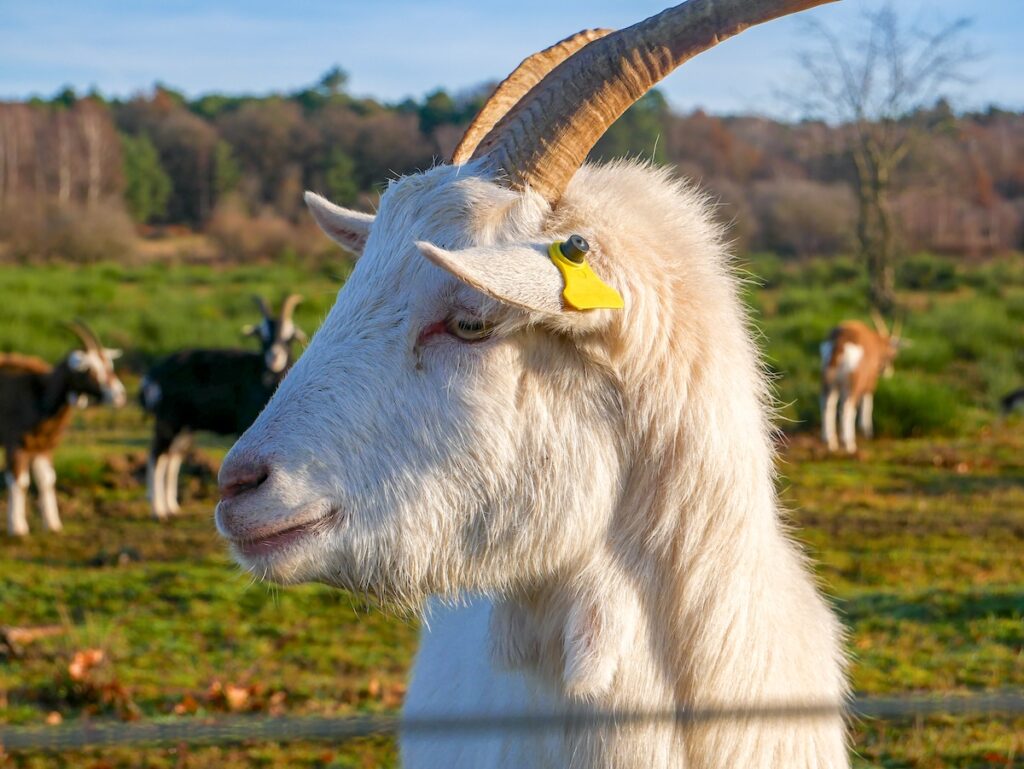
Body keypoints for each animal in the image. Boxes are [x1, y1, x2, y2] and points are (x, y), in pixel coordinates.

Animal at [0, 323, 125, 536]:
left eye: (109, 365)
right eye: (89, 368)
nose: (119, 395)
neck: (40, 393)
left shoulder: (43, 447)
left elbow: (47, 479)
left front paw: (52, 524)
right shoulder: (15, 445)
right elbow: (20, 481)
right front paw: (17, 528)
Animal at [142, 296, 305, 520]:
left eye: (289, 337)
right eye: (262, 336)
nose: (274, 357)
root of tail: (155, 373)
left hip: (185, 426)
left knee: (172, 456)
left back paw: (171, 507)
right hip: (169, 419)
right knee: (157, 455)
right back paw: (158, 510)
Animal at [819, 313, 901, 454]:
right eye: (892, 353)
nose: (888, 371)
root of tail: (839, 343)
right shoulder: (870, 380)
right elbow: (868, 401)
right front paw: (867, 431)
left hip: (831, 384)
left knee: (827, 405)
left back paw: (831, 442)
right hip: (854, 384)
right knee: (848, 407)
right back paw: (850, 444)